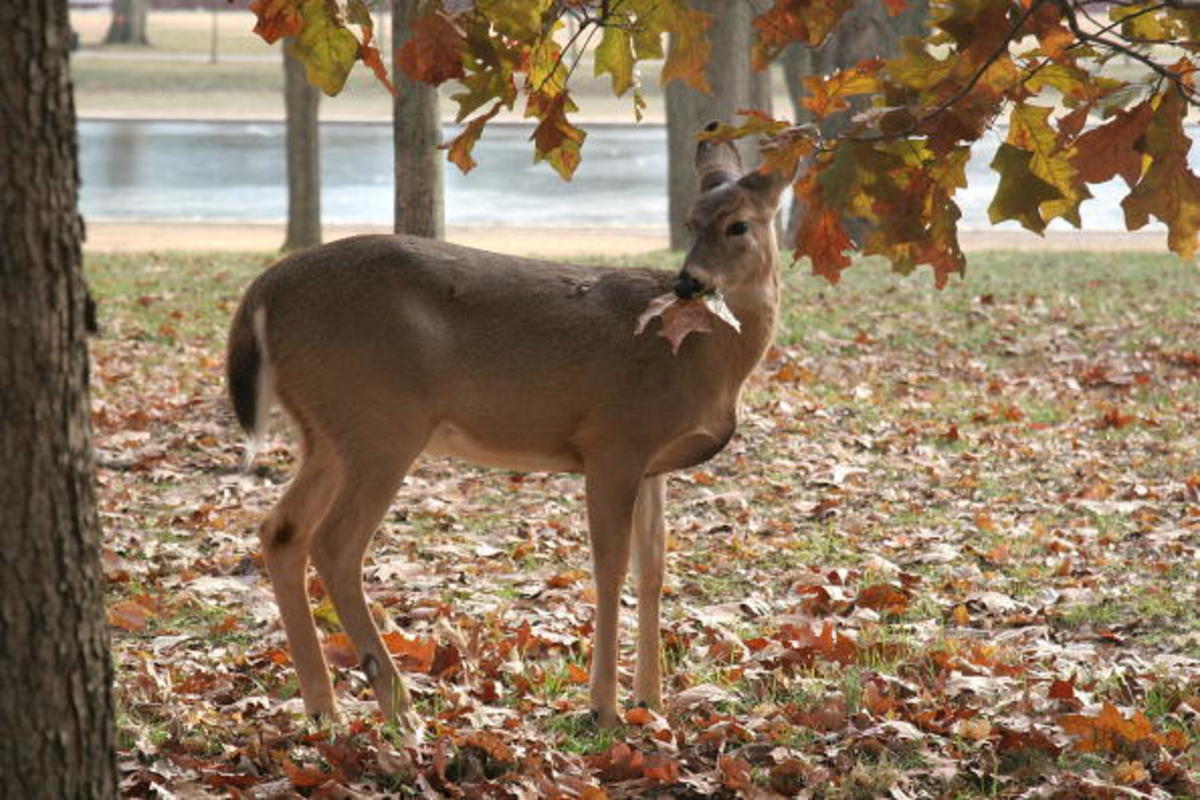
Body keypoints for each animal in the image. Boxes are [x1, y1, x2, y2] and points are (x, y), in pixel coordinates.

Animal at [225, 123, 796, 734]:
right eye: (691, 221)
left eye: (737, 224)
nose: (689, 282)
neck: (703, 359)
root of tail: (262, 291)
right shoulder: (613, 439)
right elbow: (610, 568)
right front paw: (606, 707)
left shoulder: (653, 463)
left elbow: (655, 568)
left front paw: (653, 702)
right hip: (381, 420)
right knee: (335, 544)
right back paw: (400, 709)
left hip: (328, 431)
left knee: (282, 530)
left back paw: (325, 707)